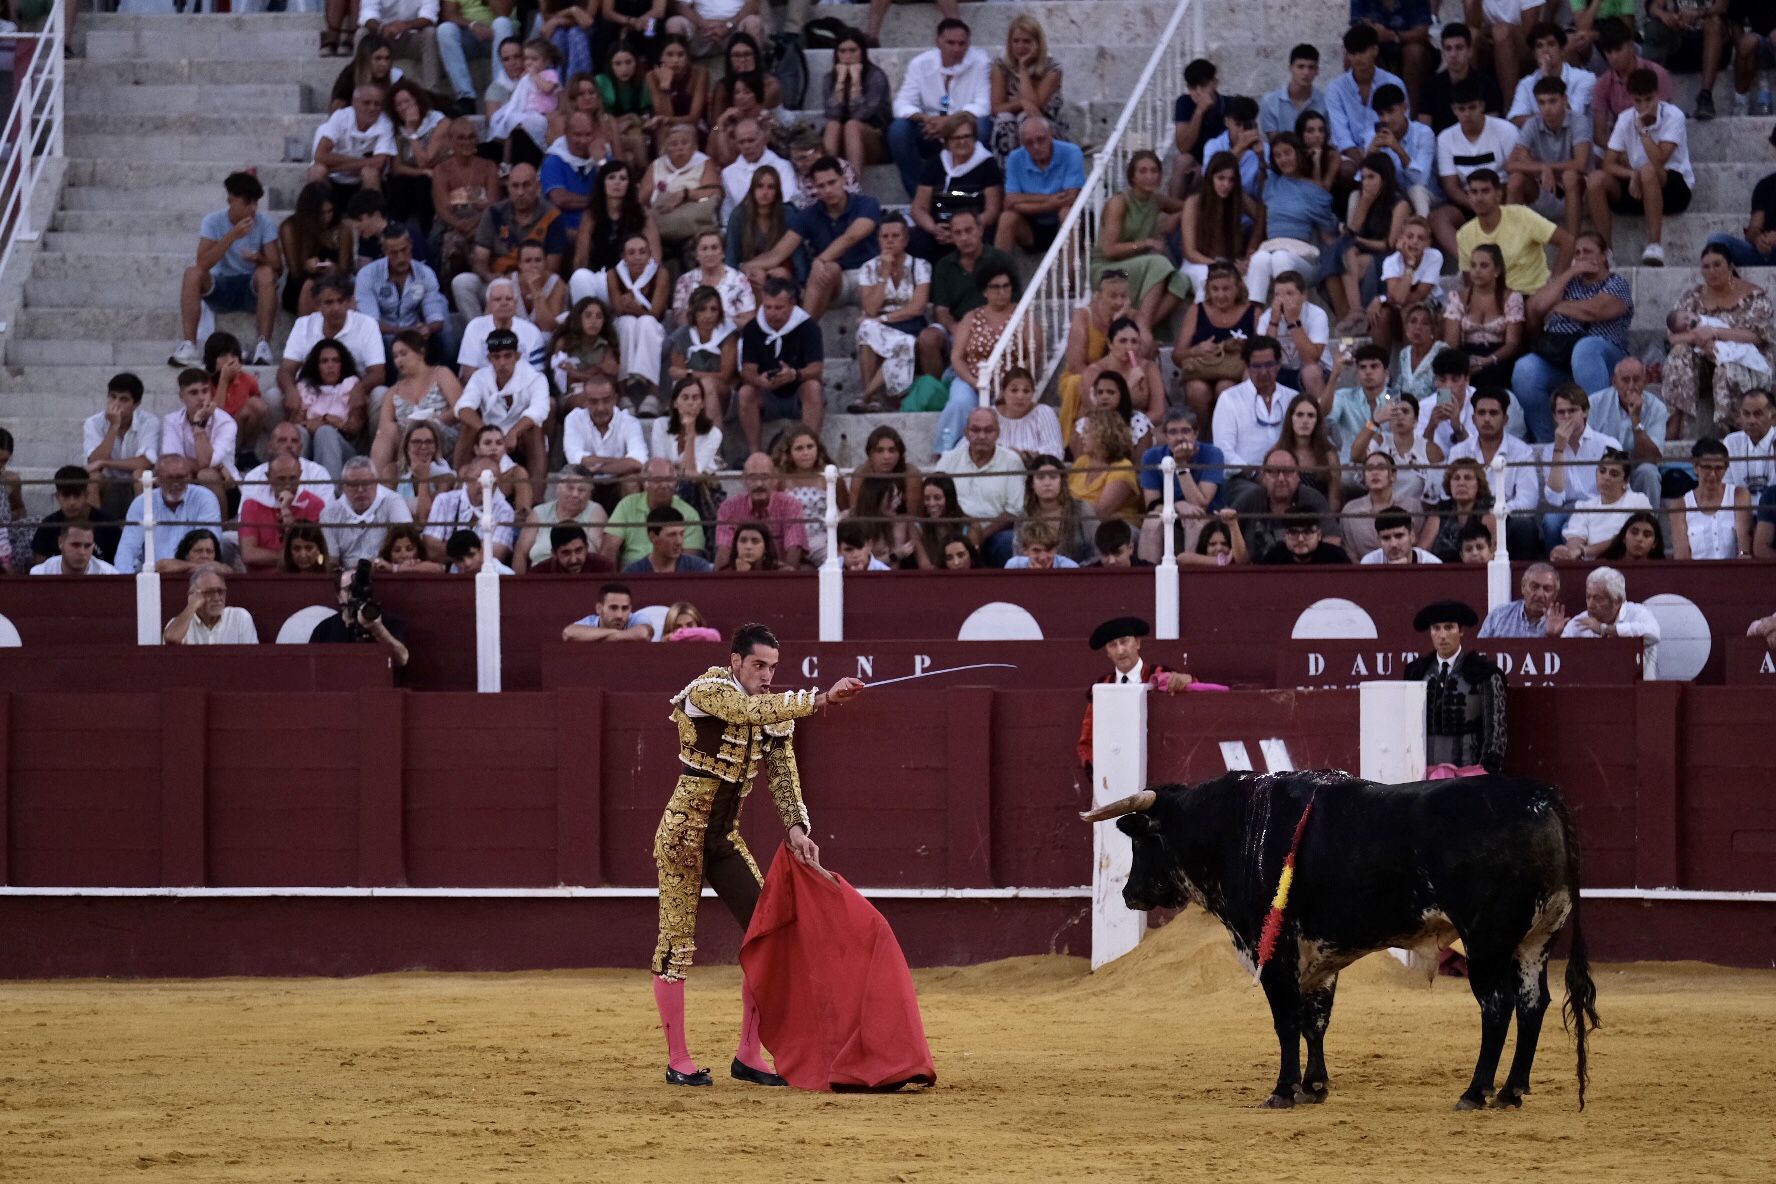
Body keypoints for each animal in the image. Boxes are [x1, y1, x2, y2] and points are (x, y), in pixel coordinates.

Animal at [1086, 770, 1605, 1114]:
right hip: (1535, 939)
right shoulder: (1319, 954)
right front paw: (1315, 1087)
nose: (1129, 894)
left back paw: (1475, 1093)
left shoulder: (1274, 952)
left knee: (1497, 1006)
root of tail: (1541, 796)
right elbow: (1315, 1021)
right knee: (1534, 1003)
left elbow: (1285, 1021)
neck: (1238, 828)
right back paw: (1512, 1092)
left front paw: (1283, 1091)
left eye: (1142, 842)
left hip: (1486, 940)